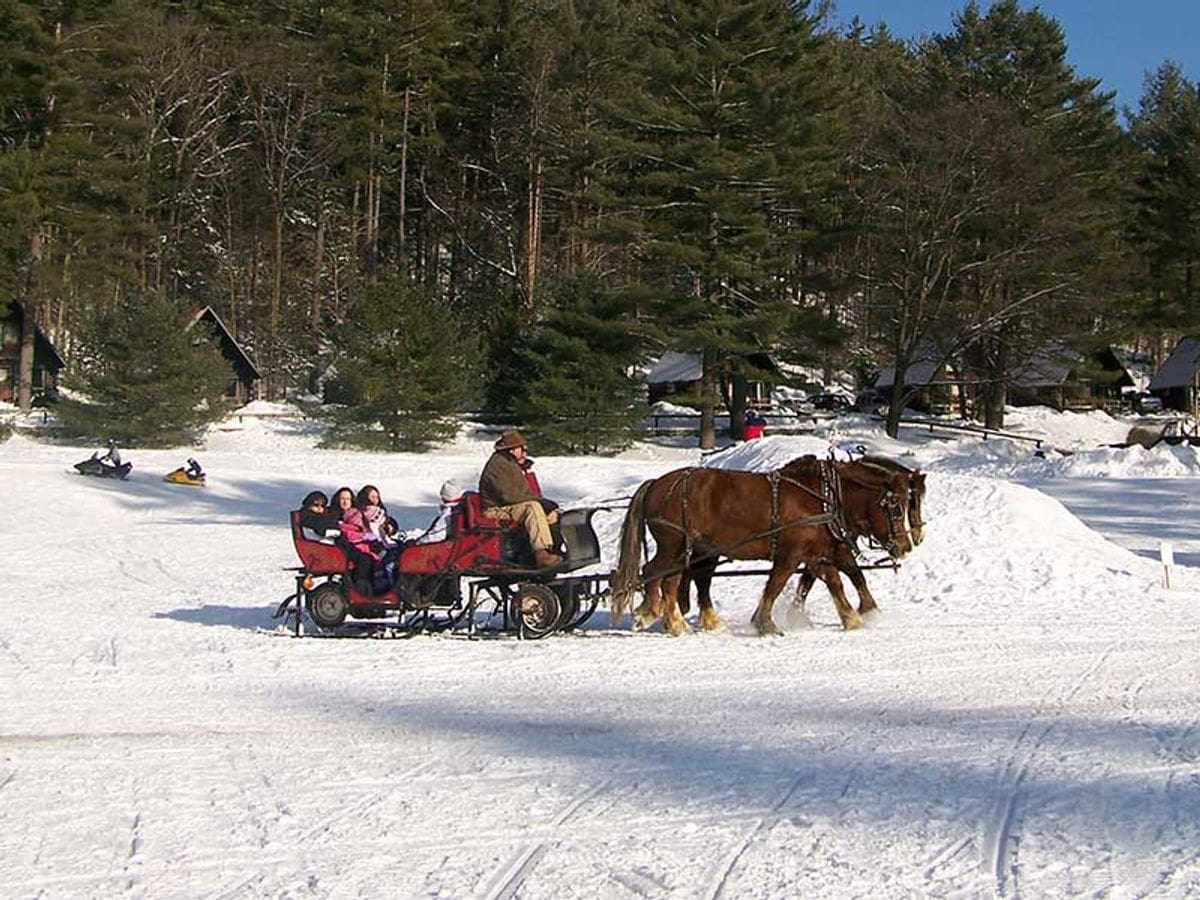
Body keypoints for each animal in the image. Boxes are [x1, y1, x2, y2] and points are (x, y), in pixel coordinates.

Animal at [614, 460, 912, 638]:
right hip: (673, 544)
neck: (824, 498)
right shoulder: (792, 554)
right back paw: (651, 613)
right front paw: (765, 623)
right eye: (896, 509)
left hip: (690, 549)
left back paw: (680, 621)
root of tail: (656, 483)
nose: (906, 546)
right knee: (652, 571)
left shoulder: (818, 553)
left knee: (676, 579)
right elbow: (775, 585)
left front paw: (858, 616)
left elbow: (840, 579)